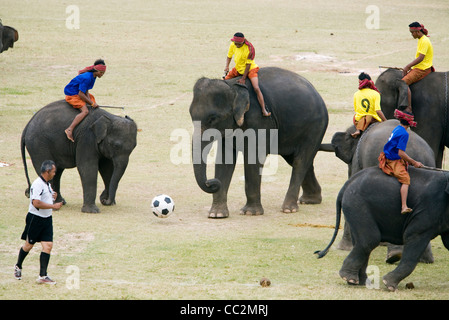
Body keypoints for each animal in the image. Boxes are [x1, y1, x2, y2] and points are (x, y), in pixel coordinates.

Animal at [189, 67, 328, 218]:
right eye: (191, 115)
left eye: (213, 118)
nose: (211, 182)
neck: (232, 86)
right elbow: (225, 159)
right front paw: (217, 214)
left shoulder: (258, 120)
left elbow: (253, 158)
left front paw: (250, 212)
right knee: (298, 160)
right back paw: (310, 200)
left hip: (315, 127)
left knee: (300, 161)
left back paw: (288, 208)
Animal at [314, 166, 448, 292]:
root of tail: (348, 183)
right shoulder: (427, 210)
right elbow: (413, 235)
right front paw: (389, 286)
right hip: (357, 205)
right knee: (370, 239)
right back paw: (350, 278)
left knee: (361, 241)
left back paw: (359, 282)